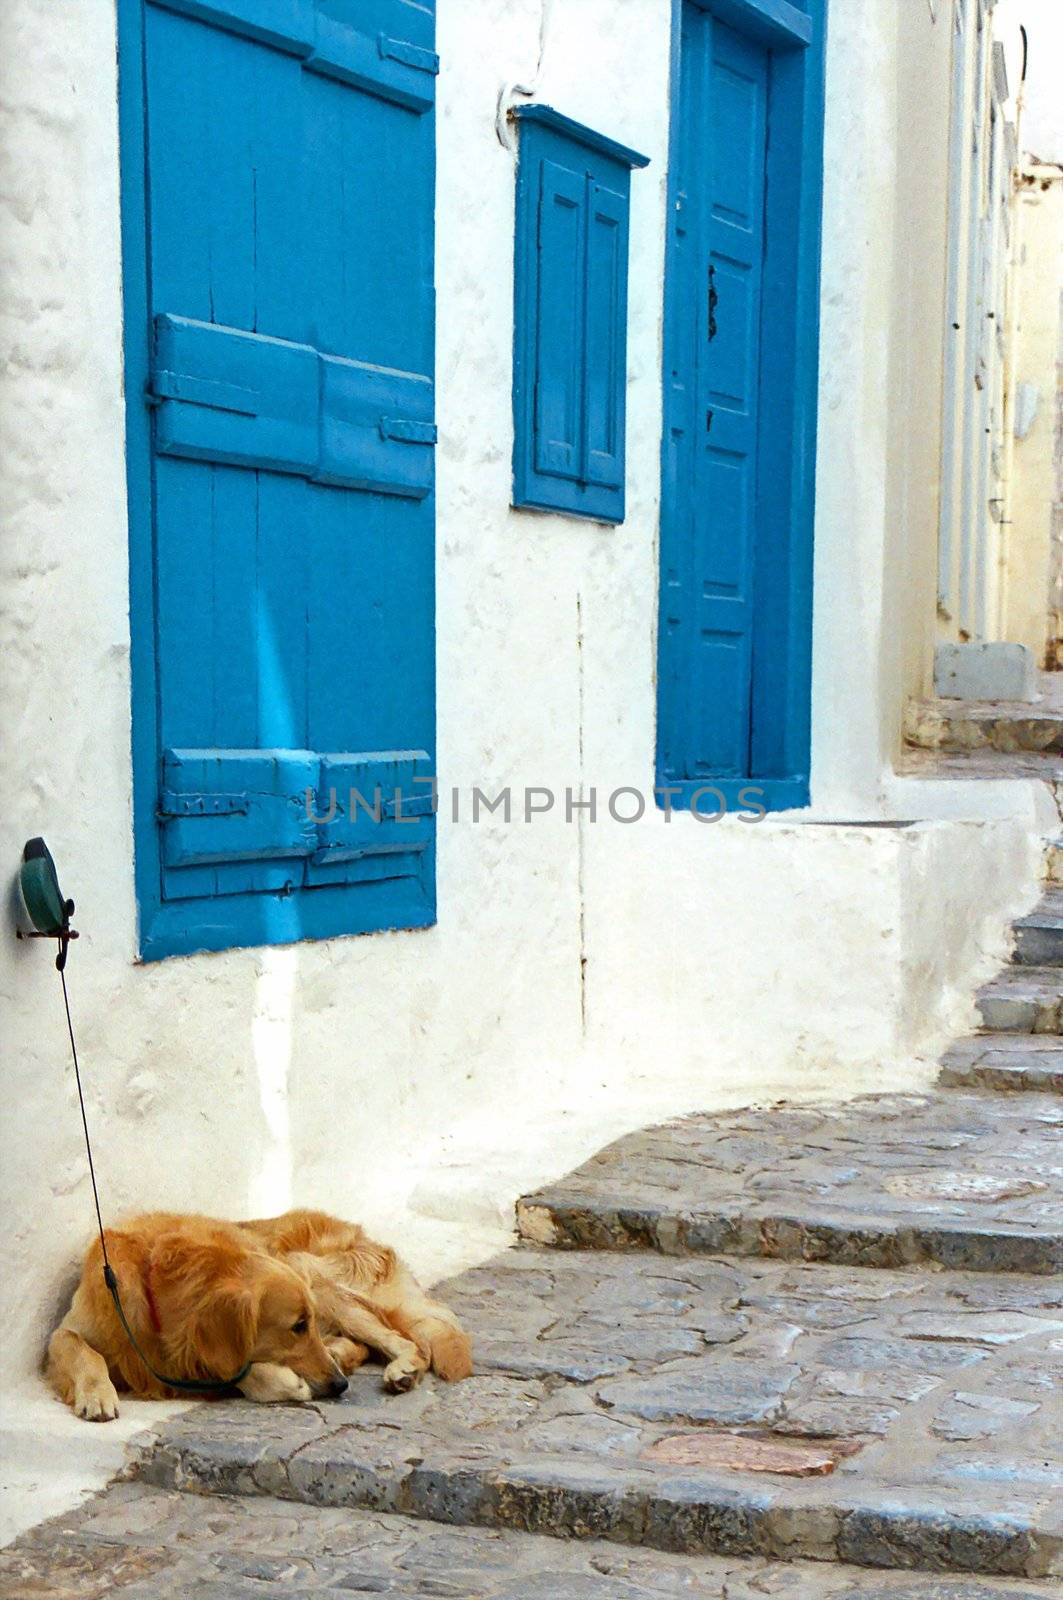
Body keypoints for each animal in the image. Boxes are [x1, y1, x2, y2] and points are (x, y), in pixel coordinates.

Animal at [48, 1203, 473, 1420]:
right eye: (297, 1326)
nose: (340, 1386)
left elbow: (236, 1368)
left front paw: (283, 1382)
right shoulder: (66, 1332)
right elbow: (80, 1349)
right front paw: (96, 1393)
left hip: (313, 1273)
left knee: (402, 1339)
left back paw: (402, 1368)